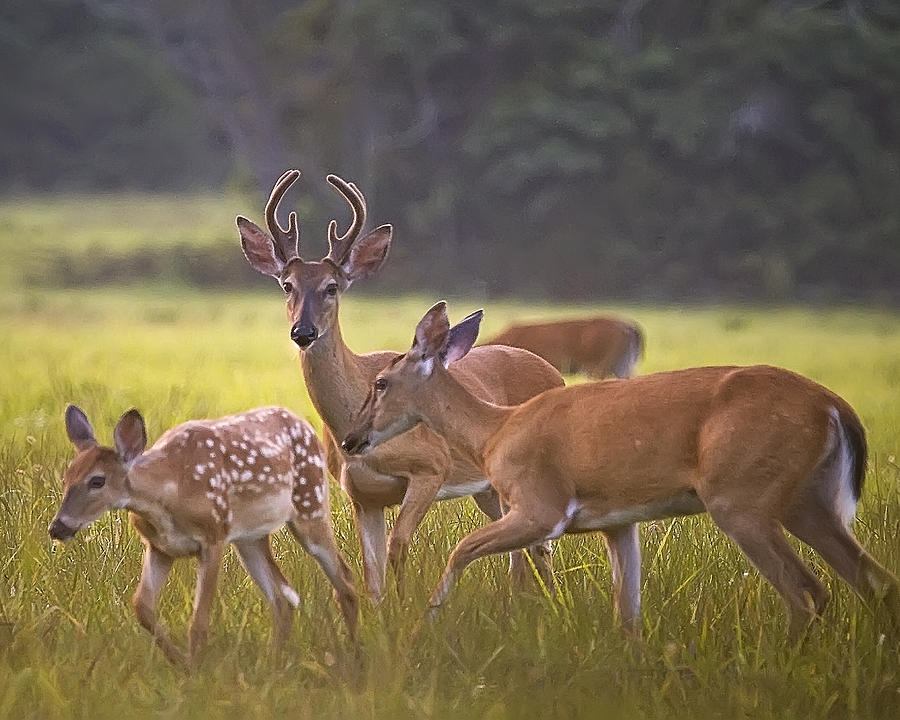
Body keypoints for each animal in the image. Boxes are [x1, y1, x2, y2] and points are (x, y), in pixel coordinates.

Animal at [50, 404, 358, 664]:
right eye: (66, 478)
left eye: (97, 481)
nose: (58, 527)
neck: (168, 493)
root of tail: (303, 423)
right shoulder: (160, 547)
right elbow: (142, 606)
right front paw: (181, 664)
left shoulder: (213, 536)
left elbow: (199, 621)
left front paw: (195, 672)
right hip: (250, 538)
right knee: (283, 599)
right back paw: (272, 663)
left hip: (310, 503)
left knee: (344, 580)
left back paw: (354, 655)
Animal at [236, 172, 568, 604]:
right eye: (287, 285)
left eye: (332, 286)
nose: (303, 332)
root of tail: (553, 372)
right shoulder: (361, 496)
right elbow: (371, 572)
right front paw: (383, 611)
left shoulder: (431, 466)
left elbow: (399, 546)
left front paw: (407, 606)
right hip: (490, 489)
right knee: (523, 548)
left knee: (541, 545)